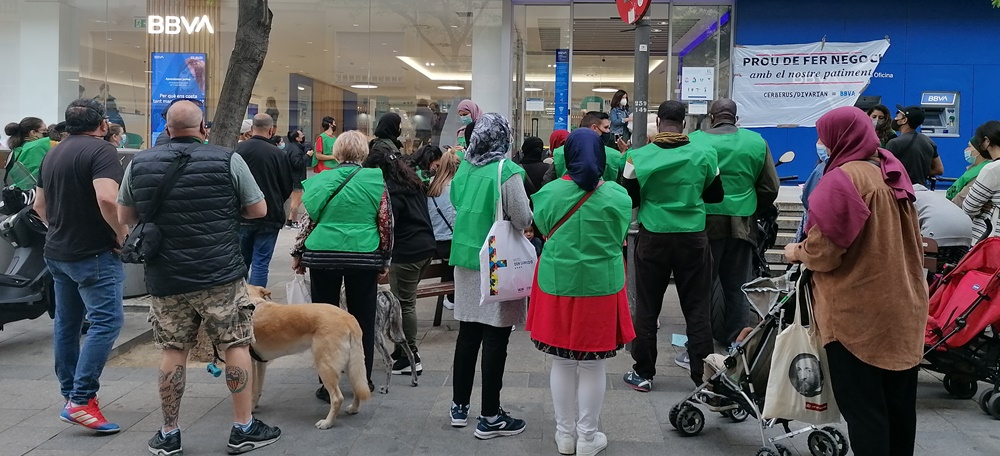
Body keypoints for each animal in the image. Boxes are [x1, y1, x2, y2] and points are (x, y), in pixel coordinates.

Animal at [246, 286, 372, 430]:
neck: (254, 303)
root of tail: (349, 318)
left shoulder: (250, 362)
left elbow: (251, 391)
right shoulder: (260, 363)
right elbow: (257, 389)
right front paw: (254, 406)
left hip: (324, 366)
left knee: (337, 398)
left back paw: (327, 422)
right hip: (350, 365)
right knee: (357, 387)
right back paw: (354, 409)